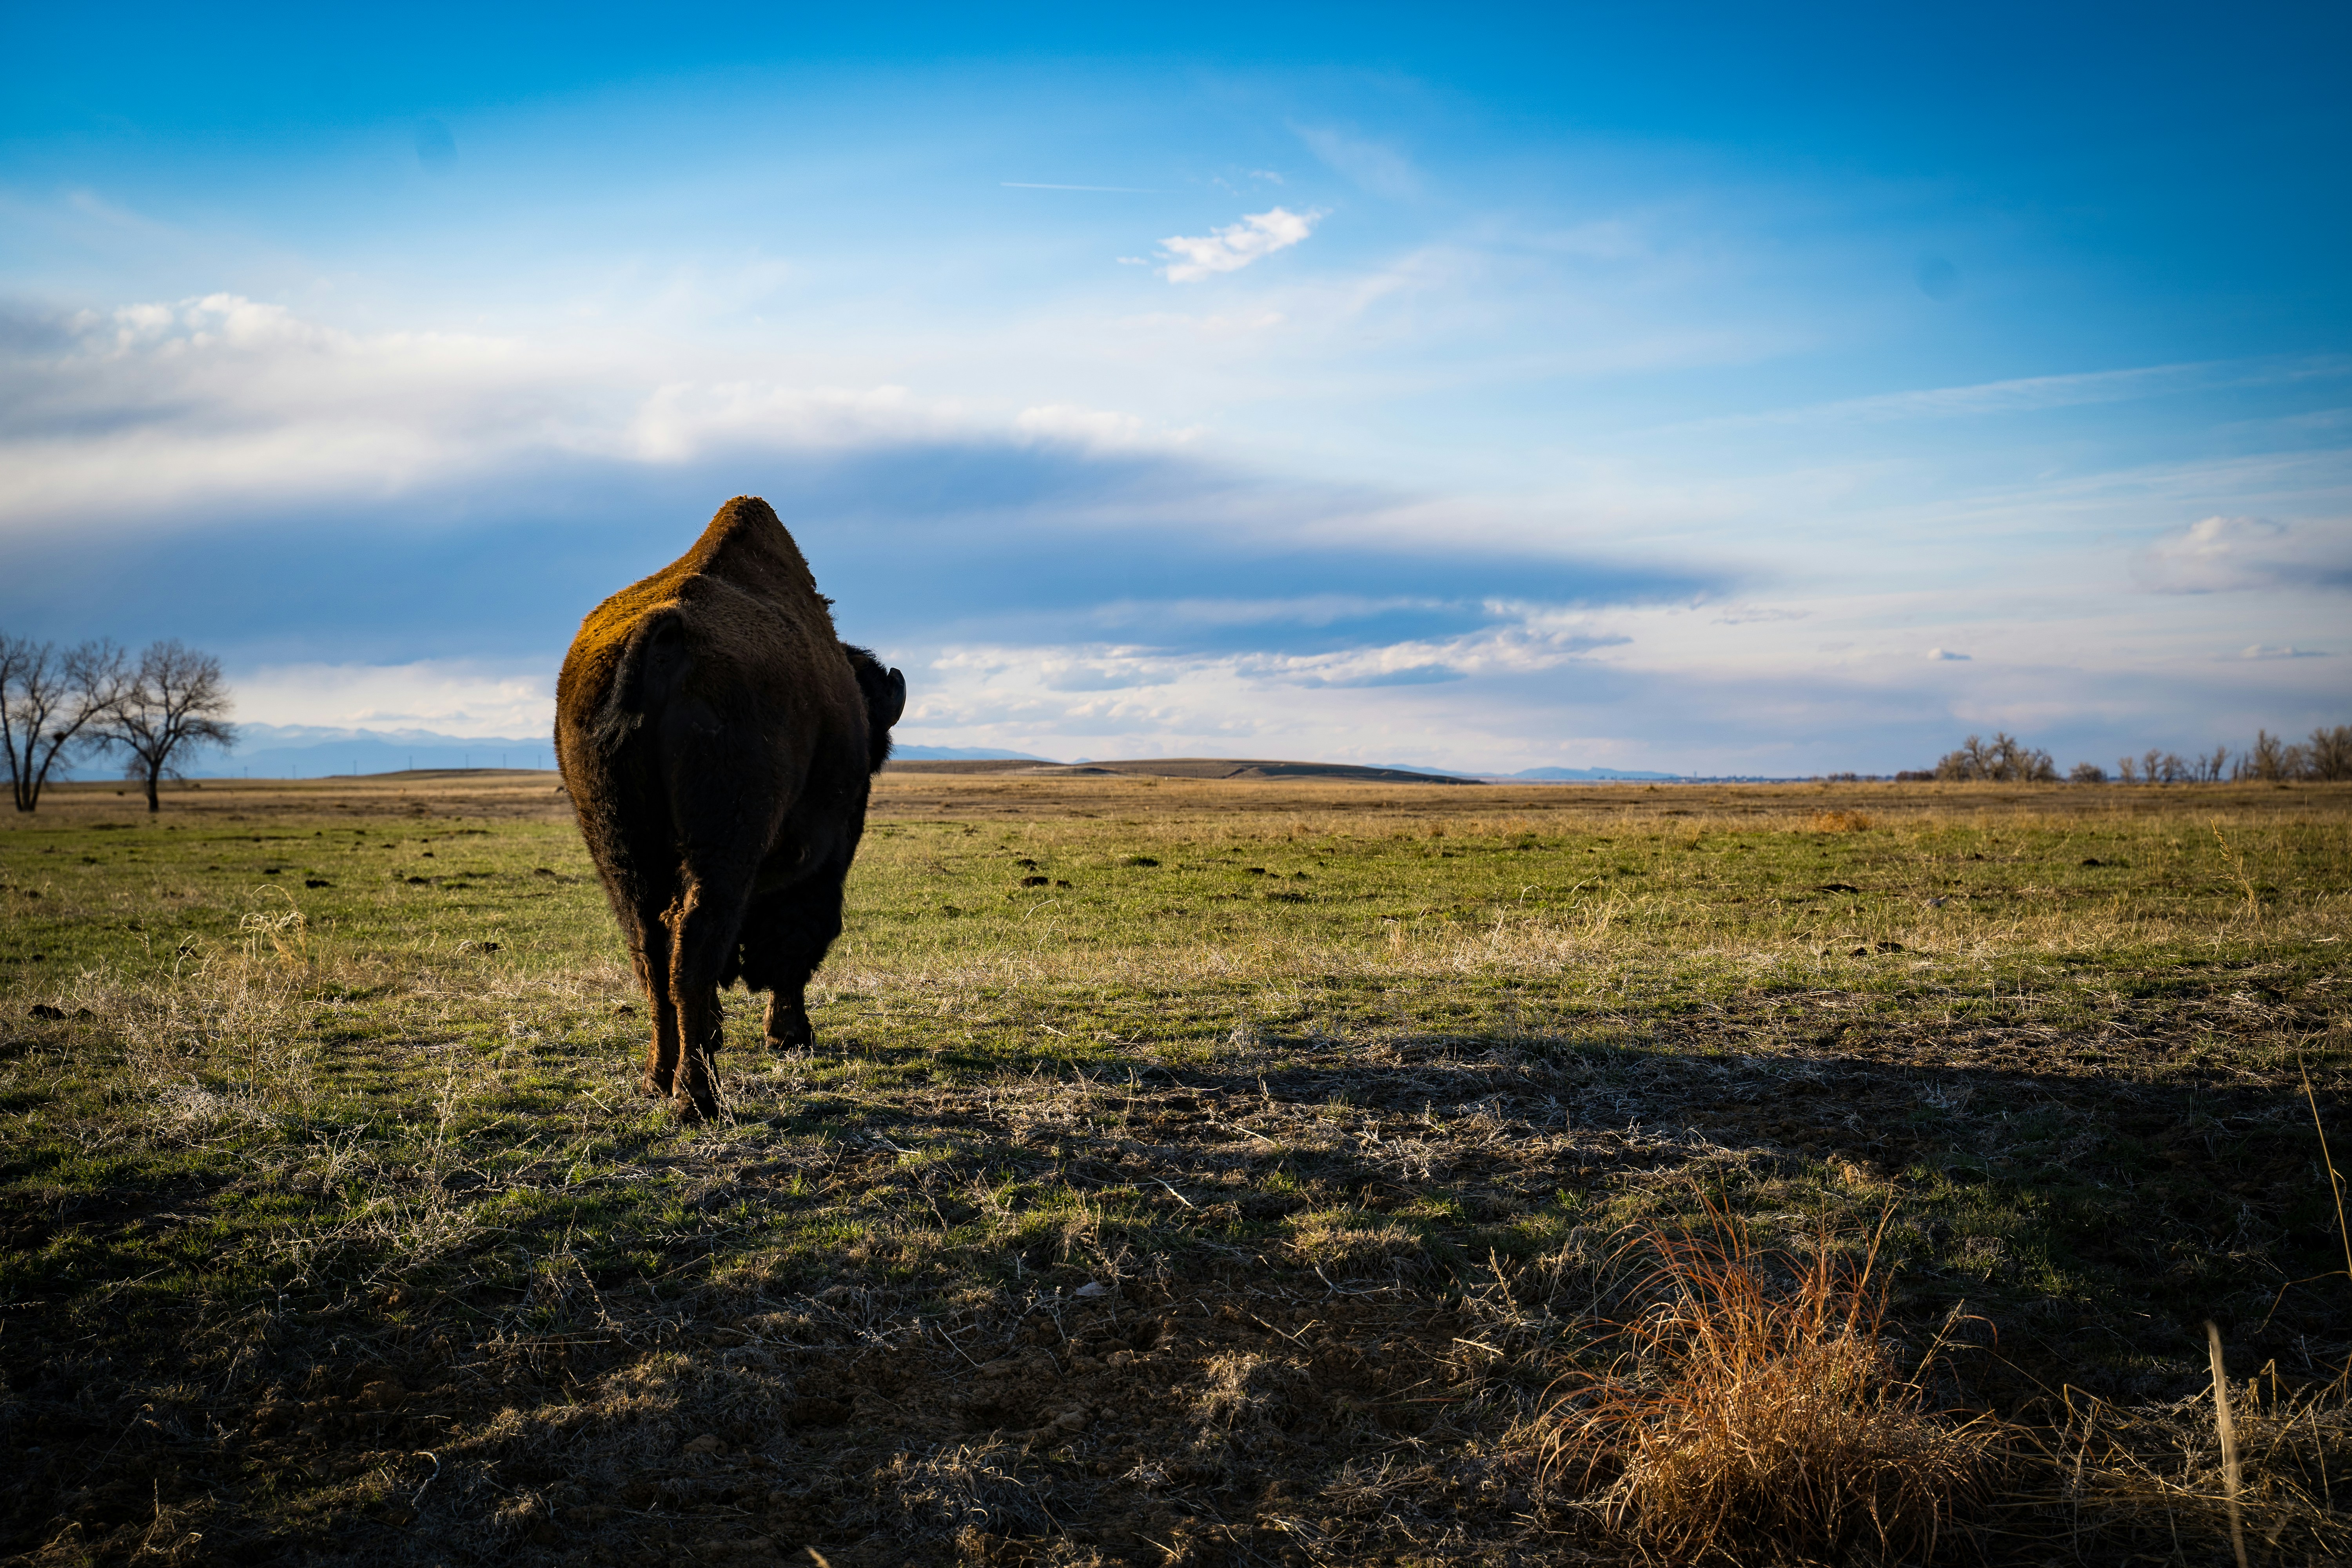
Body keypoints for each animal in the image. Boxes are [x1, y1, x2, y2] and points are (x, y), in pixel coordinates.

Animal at [555, 496, 903, 1123]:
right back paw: (699, 1098)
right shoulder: (824, 855)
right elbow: (798, 936)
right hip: (724, 842)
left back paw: (659, 1080)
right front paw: (789, 1034)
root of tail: (665, 634)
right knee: (694, 941)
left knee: (651, 949)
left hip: (619, 847)